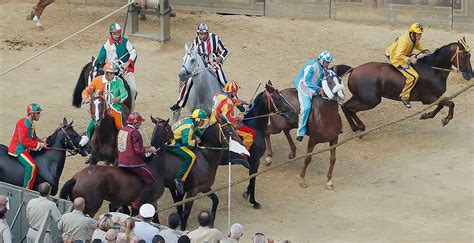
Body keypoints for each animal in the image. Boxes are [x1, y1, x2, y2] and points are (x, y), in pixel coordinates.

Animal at [241, 80, 296, 209]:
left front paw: (247, 194)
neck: (253, 126)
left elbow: (251, 179)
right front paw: (253, 201)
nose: (292, 112)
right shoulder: (255, 160)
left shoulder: (252, 161)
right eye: (278, 98)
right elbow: (253, 180)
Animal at [342, 38, 472, 133]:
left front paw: (426, 115)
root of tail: (353, 70)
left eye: (469, 55)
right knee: (350, 108)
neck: (432, 70)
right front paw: (446, 119)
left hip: (360, 97)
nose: (470, 74)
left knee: (345, 106)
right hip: (371, 101)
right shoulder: (428, 99)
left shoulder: (434, 98)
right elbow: (449, 103)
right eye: (464, 56)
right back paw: (360, 127)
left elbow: (441, 104)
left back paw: (356, 128)